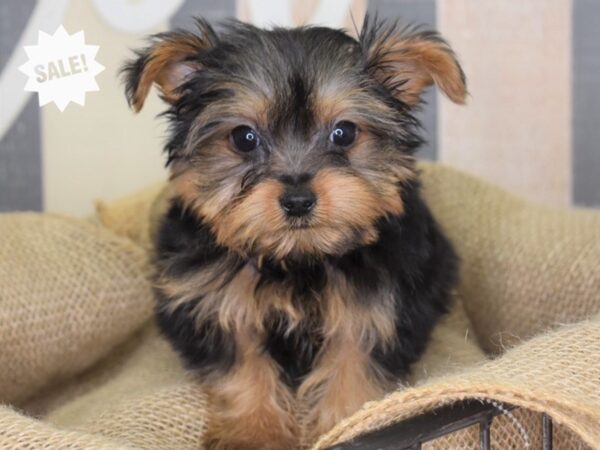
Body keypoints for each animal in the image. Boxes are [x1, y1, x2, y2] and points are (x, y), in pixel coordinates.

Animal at [122, 15, 466, 448]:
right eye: (243, 138)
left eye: (344, 133)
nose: (299, 200)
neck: (299, 257)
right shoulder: (213, 302)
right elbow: (241, 367)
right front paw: (253, 434)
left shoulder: (378, 306)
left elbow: (354, 366)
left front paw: (346, 427)